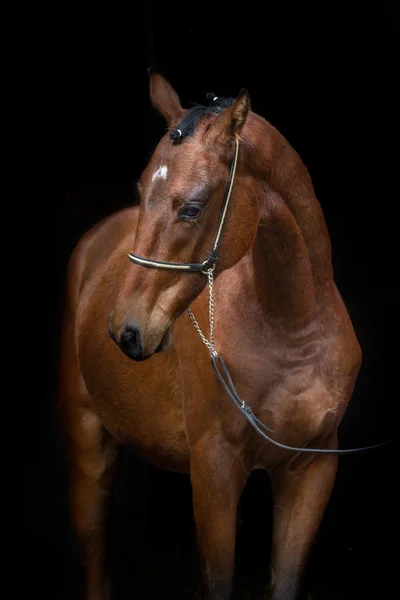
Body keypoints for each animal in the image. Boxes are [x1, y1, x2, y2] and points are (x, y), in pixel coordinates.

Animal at [58, 71, 362, 600]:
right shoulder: (215, 471)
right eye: (142, 189)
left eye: (192, 209)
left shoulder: (311, 472)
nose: (125, 330)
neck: (292, 332)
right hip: (88, 443)